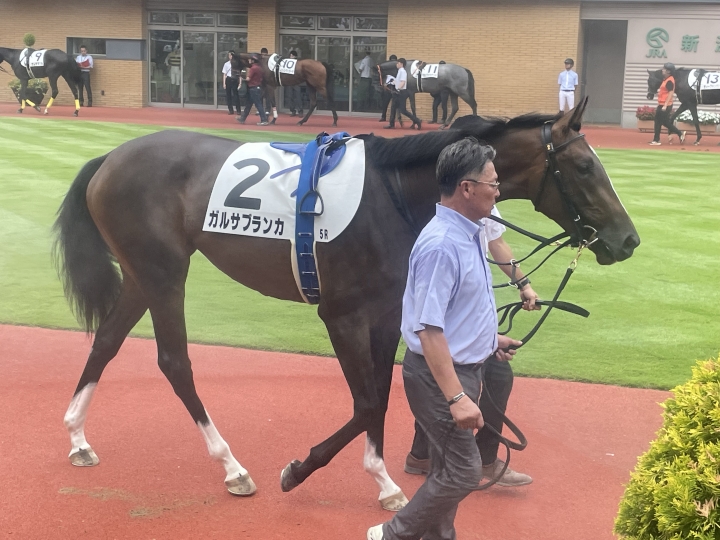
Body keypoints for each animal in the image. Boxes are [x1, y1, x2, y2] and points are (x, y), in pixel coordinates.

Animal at [53, 98, 639, 511]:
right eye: (584, 167)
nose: (628, 240)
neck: (396, 194)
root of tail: (110, 157)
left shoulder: (387, 313)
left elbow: (380, 394)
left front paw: (383, 482)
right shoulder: (342, 315)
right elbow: (367, 402)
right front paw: (307, 470)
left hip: (140, 275)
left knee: (106, 341)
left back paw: (78, 437)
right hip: (163, 273)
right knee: (174, 361)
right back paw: (231, 466)